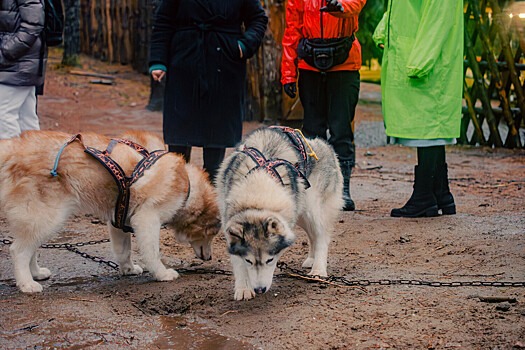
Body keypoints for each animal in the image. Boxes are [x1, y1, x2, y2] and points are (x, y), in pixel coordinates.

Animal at [0, 129, 220, 292]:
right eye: (210, 234)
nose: (209, 258)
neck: (186, 185)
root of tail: (14, 148)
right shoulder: (147, 219)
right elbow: (152, 252)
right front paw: (162, 274)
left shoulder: (120, 218)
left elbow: (124, 251)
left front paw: (128, 269)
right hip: (48, 217)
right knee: (18, 250)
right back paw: (26, 284)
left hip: (41, 220)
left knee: (31, 249)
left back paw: (36, 273)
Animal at [215, 127, 342, 300]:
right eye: (248, 261)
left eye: (270, 260)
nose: (259, 289)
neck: (257, 197)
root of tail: (324, 144)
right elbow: (238, 263)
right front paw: (243, 288)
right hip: (300, 213)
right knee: (312, 235)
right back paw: (311, 259)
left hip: (312, 209)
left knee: (321, 236)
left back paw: (318, 269)